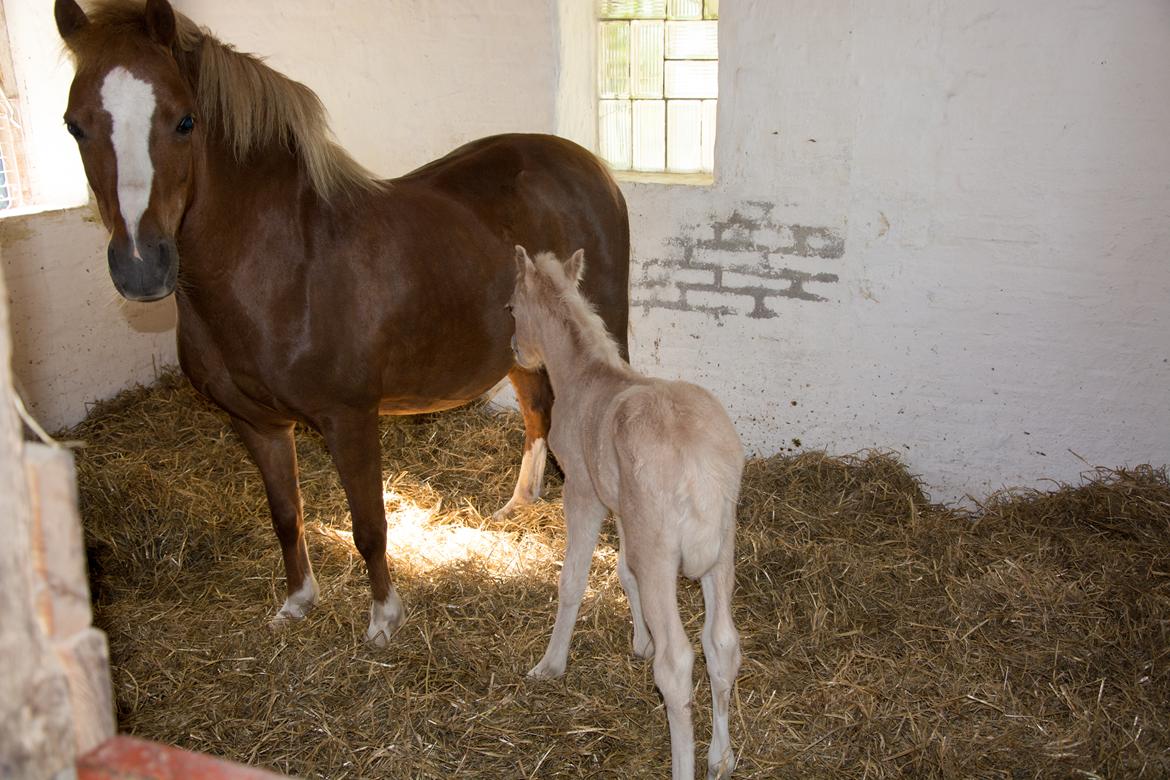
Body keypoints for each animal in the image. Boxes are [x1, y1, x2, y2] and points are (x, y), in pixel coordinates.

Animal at [54, 0, 630, 647]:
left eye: (184, 121)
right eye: (75, 125)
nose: (141, 266)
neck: (282, 264)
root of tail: (589, 166)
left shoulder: (349, 418)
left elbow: (369, 525)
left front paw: (383, 619)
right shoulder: (258, 424)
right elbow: (287, 515)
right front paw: (298, 601)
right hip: (523, 348)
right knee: (537, 411)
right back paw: (519, 506)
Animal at [508, 246, 744, 779]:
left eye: (510, 307)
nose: (515, 350)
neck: (584, 374)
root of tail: (700, 467)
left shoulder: (583, 490)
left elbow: (573, 579)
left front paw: (549, 665)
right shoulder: (621, 505)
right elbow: (622, 569)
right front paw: (641, 641)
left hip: (661, 549)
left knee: (678, 663)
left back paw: (686, 764)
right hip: (722, 544)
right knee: (721, 642)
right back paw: (721, 757)